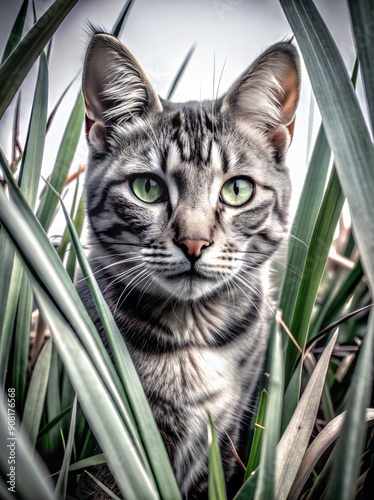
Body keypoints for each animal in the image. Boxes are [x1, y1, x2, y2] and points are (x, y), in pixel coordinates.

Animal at [79, 29, 300, 498]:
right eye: (147, 188)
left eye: (238, 190)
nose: (194, 243)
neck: (191, 339)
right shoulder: (110, 439)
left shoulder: (225, 435)